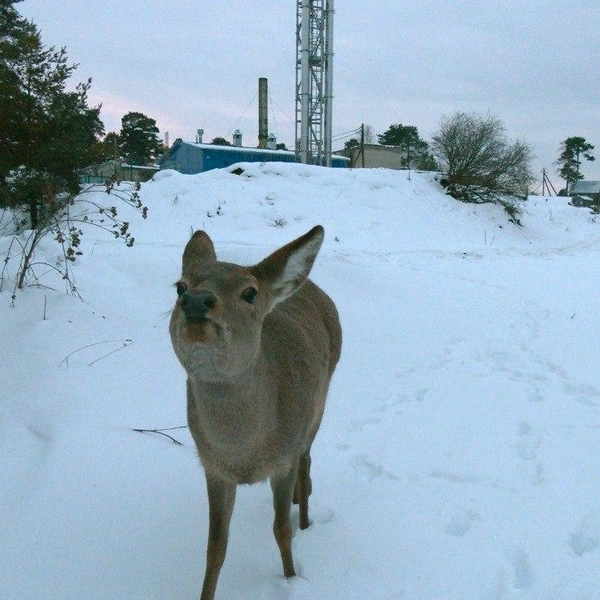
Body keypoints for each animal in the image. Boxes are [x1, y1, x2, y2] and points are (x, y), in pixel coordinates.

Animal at [170, 226, 342, 600]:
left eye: (249, 292)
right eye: (180, 286)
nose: (196, 302)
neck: (245, 452)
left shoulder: (283, 459)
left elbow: (281, 530)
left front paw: (291, 579)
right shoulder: (213, 466)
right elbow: (215, 547)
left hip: (320, 401)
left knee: (307, 457)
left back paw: (304, 508)